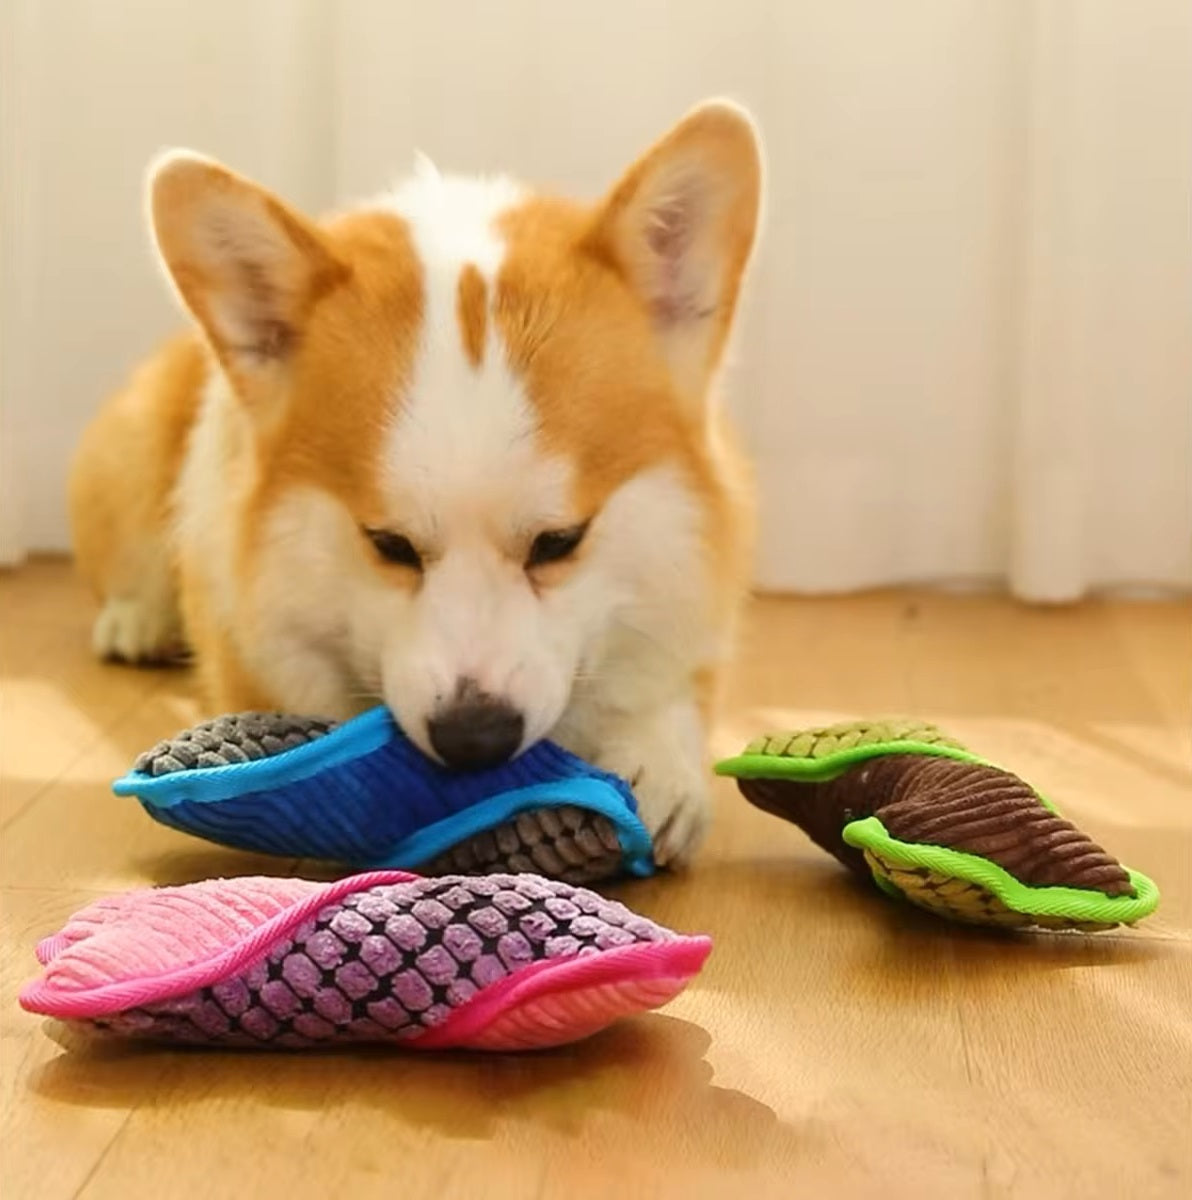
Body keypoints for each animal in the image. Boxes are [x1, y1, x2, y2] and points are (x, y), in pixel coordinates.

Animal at [72, 96, 763, 864]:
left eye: (559, 542)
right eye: (389, 545)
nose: (475, 739)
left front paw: (658, 761)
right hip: (131, 451)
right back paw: (137, 619)